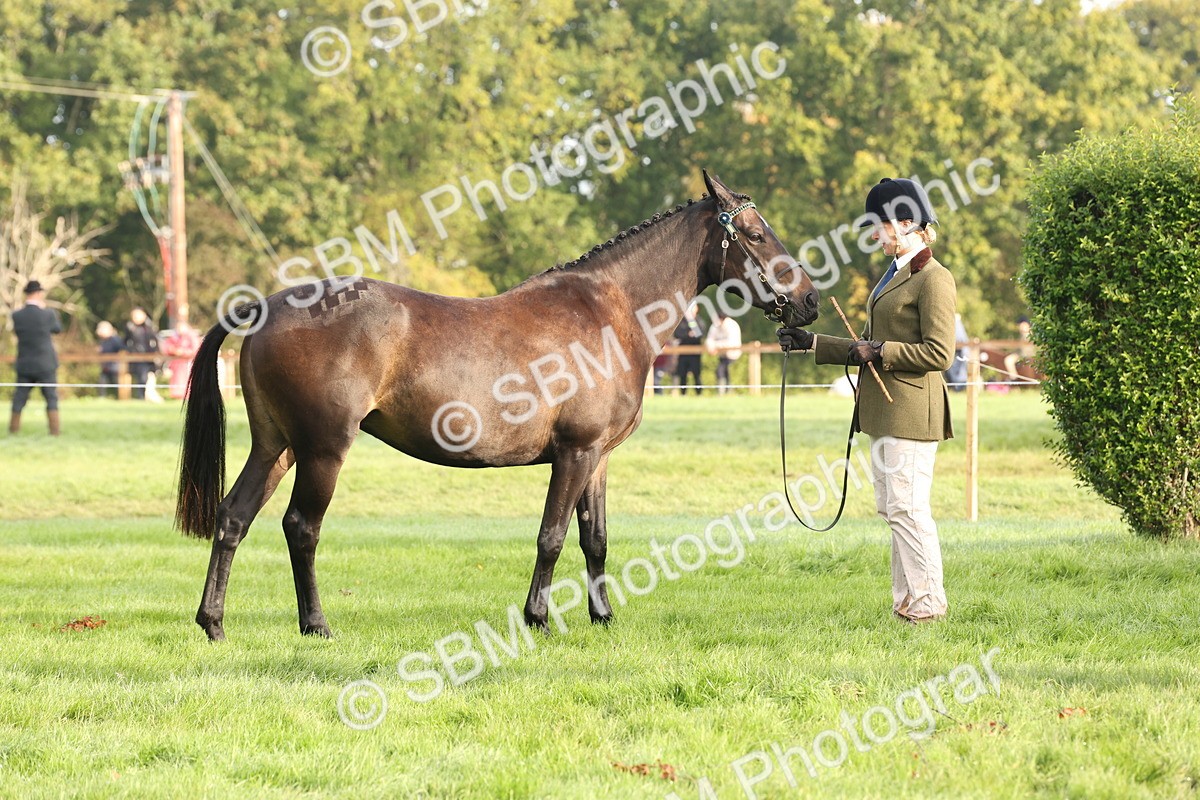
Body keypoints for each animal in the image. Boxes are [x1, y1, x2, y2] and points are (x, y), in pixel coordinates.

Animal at [175, 171, 820, 640]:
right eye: (756, 234)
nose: (810, 302)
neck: (609, 312)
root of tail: (264, 308)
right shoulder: (575, 453)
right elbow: (552, 536)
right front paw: (538, 620)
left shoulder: (598, 458)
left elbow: (595, 538)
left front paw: (603, 617)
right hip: (323, 450)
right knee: (301, 528)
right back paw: (315, 625)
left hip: (276, 446)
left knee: (233, 518)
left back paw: (213, 623)